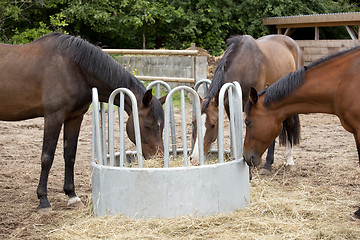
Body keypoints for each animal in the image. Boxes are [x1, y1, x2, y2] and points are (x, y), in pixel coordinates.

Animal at [0, 32, 166, 212]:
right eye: (147, 126)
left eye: (162, 127)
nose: (160, 157)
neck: (72, 69)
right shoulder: (53, 117)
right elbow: (47, 157)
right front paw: (43, 200)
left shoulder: (74, 117)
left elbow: (70, 155)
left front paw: (72, 196)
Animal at [191, 34, 304, 173]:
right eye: (193, 122)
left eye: (213, 125)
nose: (195, 159)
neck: (245, 65)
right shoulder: (229, 106)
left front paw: (264, 165)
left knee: (289, 125)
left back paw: (287, 162)